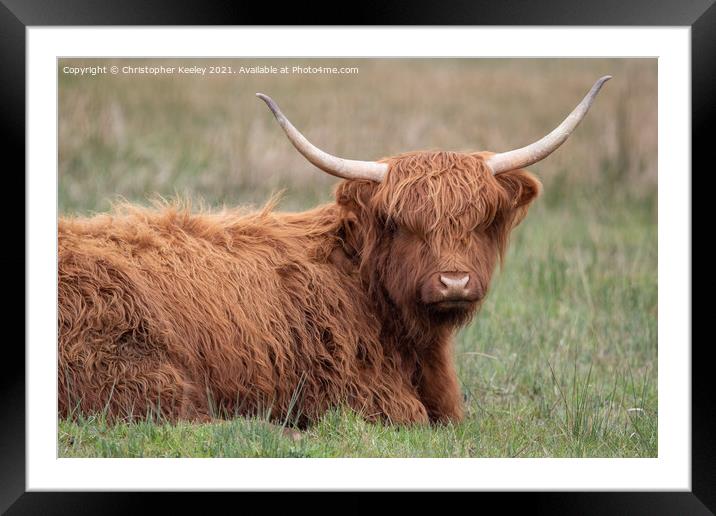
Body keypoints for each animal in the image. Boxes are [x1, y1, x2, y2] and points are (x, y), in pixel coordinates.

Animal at [58, 75, 612, 424]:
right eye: (402, 225)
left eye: (478, 222)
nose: (454, 282)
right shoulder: (356, 391)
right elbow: (410, 416)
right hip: (141, 369)